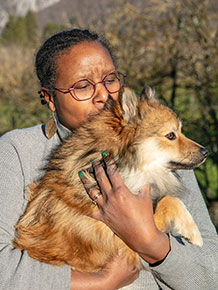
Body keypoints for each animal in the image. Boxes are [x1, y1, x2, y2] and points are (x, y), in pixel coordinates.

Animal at [12, 86, 207, 272]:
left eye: (180, 131)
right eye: (171, 135)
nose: (205, 151)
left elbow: (167, 199)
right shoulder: (129, 239)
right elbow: (169, 201)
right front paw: (194, 233)